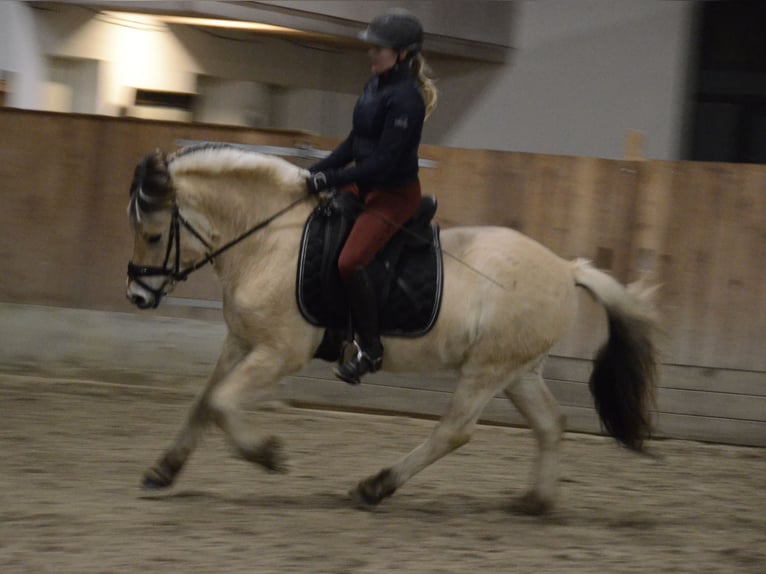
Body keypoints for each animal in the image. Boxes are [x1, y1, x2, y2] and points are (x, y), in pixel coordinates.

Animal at [125, 143, 658, 514]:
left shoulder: (279, 352)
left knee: (454, 431)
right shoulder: (241, 341)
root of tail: (565, 268)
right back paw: (536, 503)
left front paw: (268, 454)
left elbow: (220, 402)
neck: (269, 241)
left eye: (152, 234)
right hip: (519, 372)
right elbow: (204, 401)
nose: (137, 297)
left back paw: (374, 487)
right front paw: (162, 471)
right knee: (550, 423)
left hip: (487, 369)